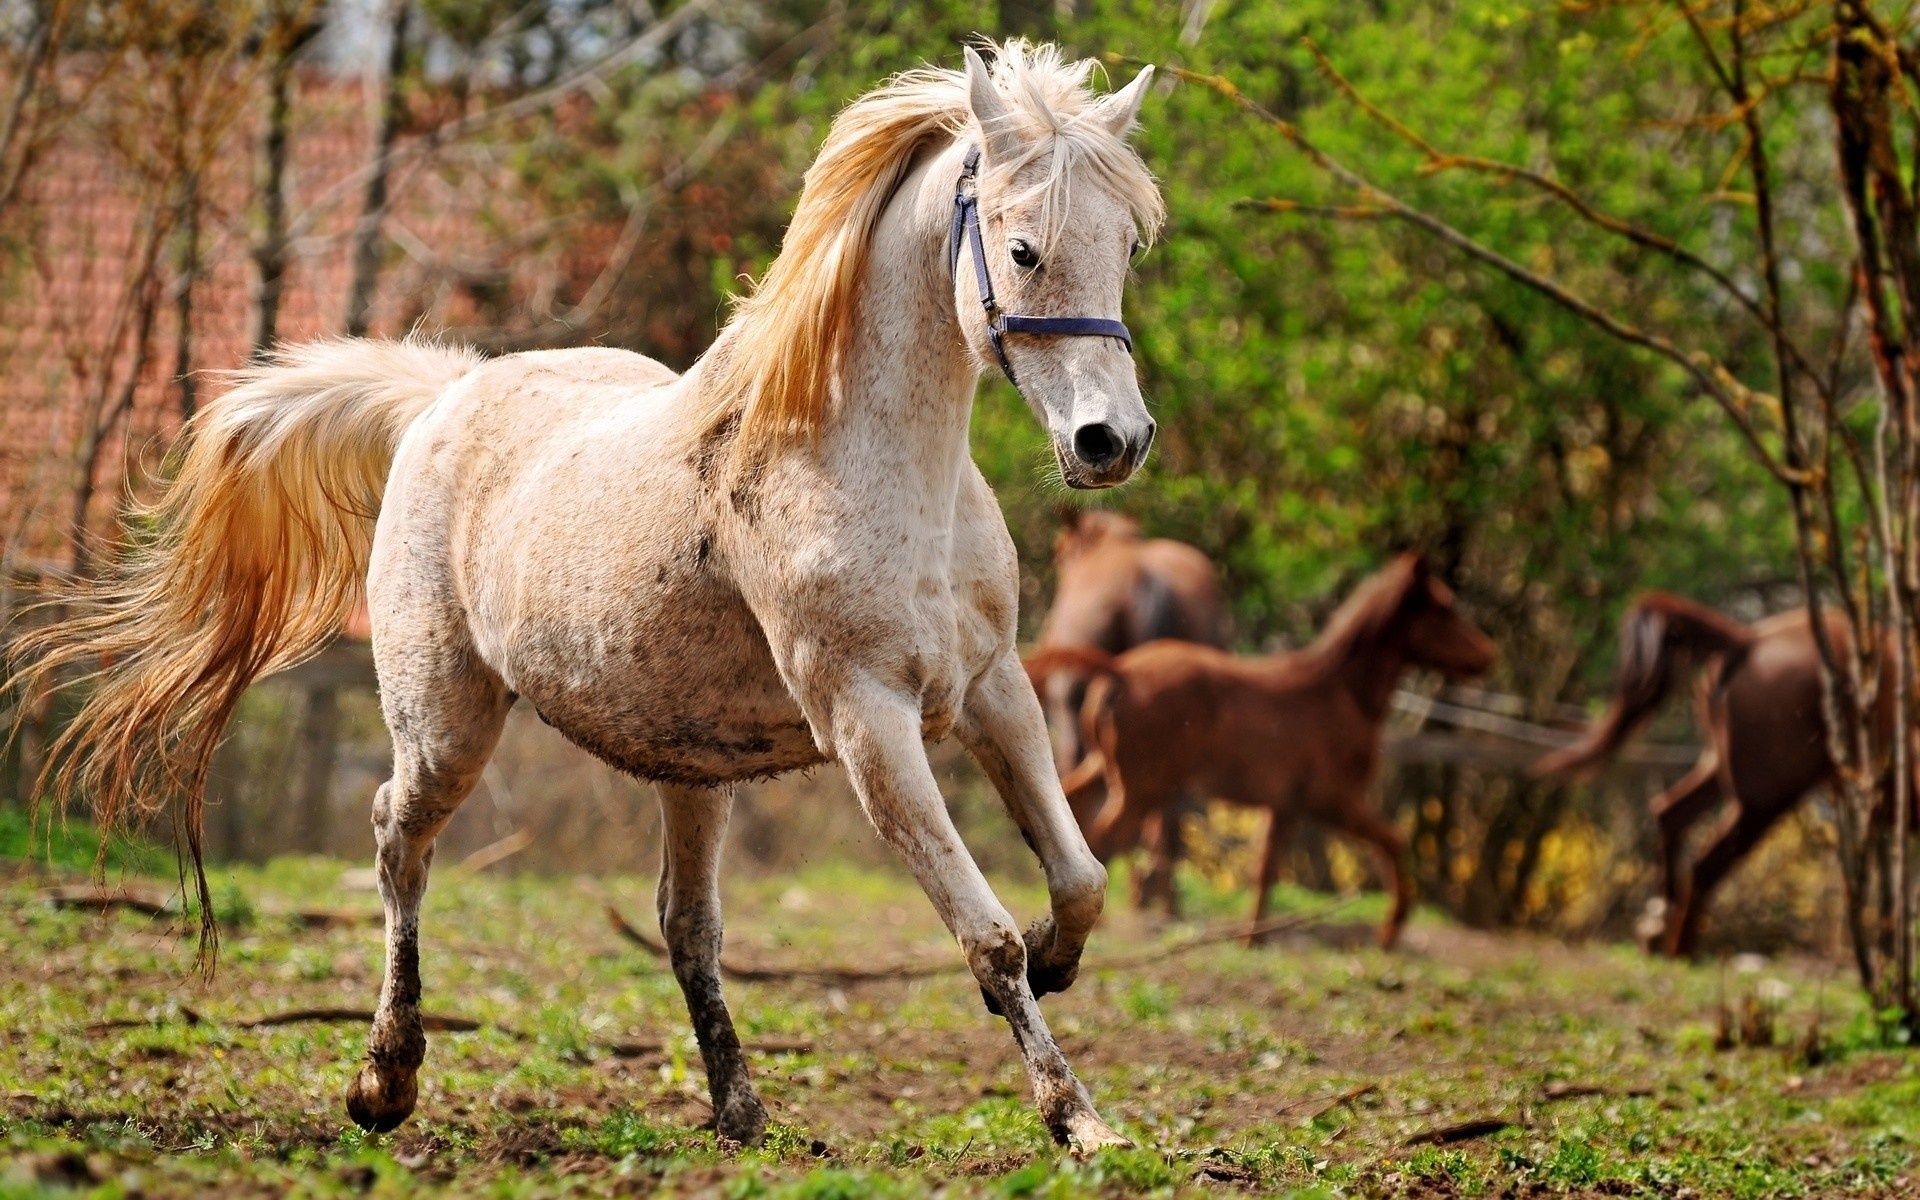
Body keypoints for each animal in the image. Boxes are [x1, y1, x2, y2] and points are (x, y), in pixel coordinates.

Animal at [15, 42, 1159, 1152]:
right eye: (1023, 249)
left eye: (1126, 245)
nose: (1112, 441)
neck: (866, 464)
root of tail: (443, 398)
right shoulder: (869, 722)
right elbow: (986, 934)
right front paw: (1080, 1119)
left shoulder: (993, 690)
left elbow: (1081, 878)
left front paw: (1060, 965)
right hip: (446, 727)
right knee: (397, 841)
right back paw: (385, 1081)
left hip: (692, 769)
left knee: (685, 923)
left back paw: (740, 1112)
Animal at [1029, 552, 1489, 944]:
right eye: (1445, 609)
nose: (1488, 655)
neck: (1340, 693)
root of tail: (1119, 670)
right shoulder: (1334, 800)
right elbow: (1393, 840)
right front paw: (1391, 930)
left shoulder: (1285, 806)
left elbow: (1265, 869)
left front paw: (1253, 937)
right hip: (1143, 789)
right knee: (1103, 841)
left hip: (1106, 769)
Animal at [1536, 591, 1881, 956]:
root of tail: (1747, 641)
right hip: (1766, 794)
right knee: (1706, 864)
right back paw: (1680, 949)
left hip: (1724, 769)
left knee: (1670, 814)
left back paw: (1658, 926)